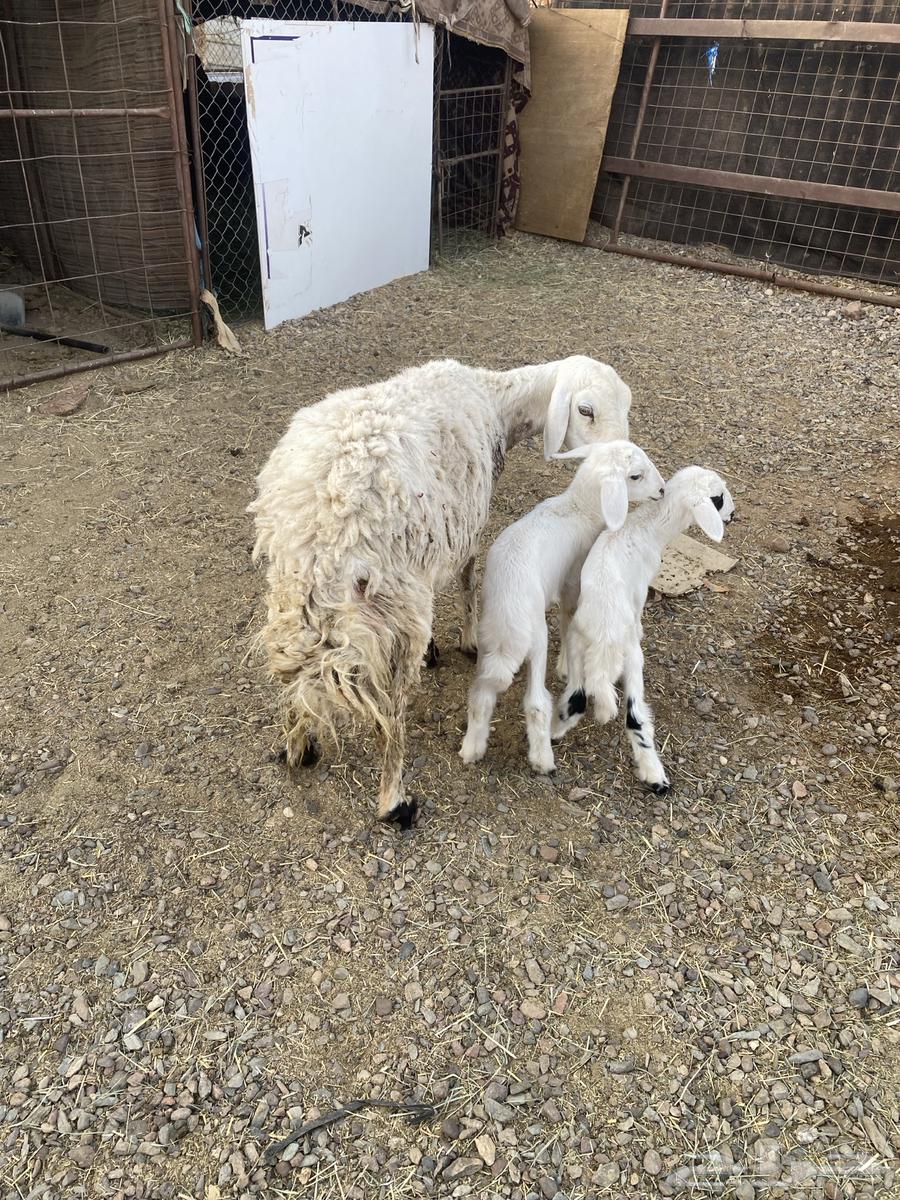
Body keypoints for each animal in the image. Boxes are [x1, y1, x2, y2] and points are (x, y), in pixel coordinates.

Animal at [249, 355, 633, 827]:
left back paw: (298, 744)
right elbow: (468, 577)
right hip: (394, 598)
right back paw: (394, 800)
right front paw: (468, 640)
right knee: (390, 709)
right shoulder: (469, 522)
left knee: (290, 665)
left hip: (291, 592)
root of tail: (320, 521)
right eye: (585, 410)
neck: (496, 402)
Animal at [459, 440, 665, 776]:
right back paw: (543, 760)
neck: (580, 508)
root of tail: (507, 624)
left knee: (481, 696)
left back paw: (472, 749)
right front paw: (567, 664)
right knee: (536, 703)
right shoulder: (572, 583)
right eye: (636, 476)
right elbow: (569, 621)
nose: (662, 490)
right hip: (536, 639)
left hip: (486, 643)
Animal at [552, 466, 736, 792]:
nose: (733, 515)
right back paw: (655, 776)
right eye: (718, 498)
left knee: (576, 700)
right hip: (632, 659)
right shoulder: (640, 589)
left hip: (576, 652)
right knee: (634, 717)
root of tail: (603, 642)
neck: (647, 527)